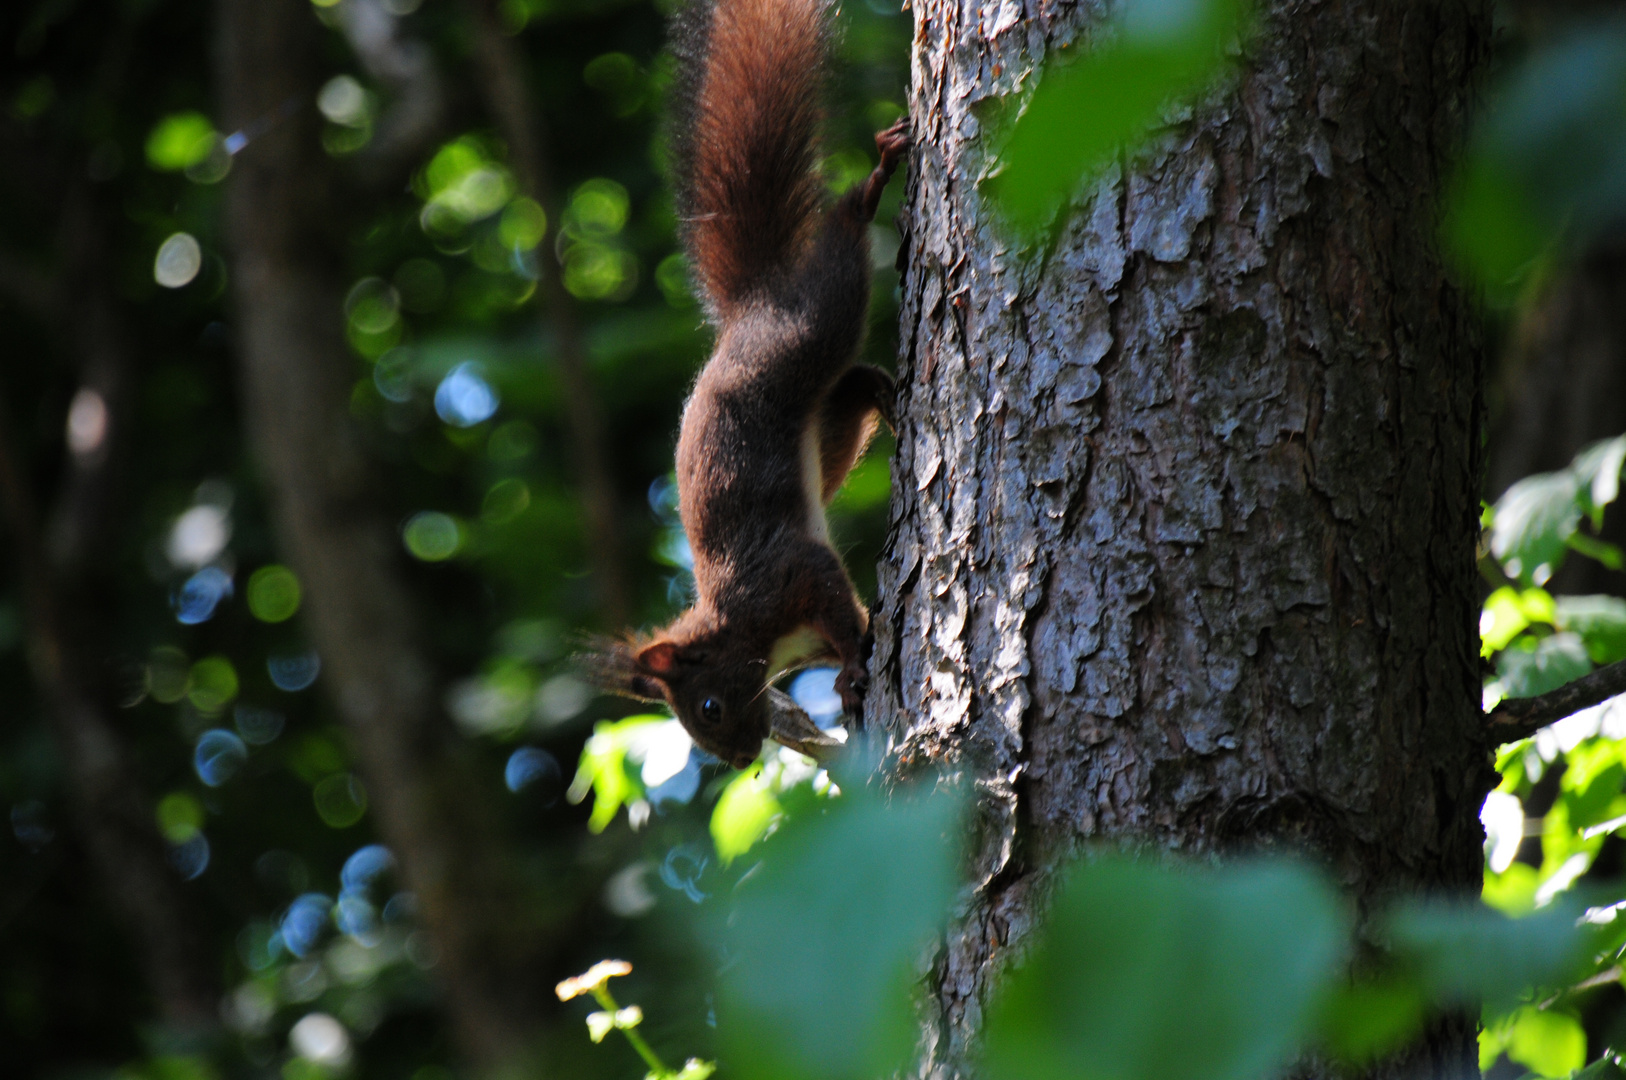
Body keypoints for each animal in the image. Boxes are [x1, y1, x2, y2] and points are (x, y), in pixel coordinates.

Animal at [582, 0, 917, 767]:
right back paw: (886, 395)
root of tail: (750, 307)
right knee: (852, 385)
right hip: (827, 431)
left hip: (805, 329)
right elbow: (849, 626)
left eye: (707, 705)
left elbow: (837, 603)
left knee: (840, 261)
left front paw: (852, 669)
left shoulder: (786, 574)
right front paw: (853, 684)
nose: (737, 760)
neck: (741, 627)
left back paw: (873, 182)